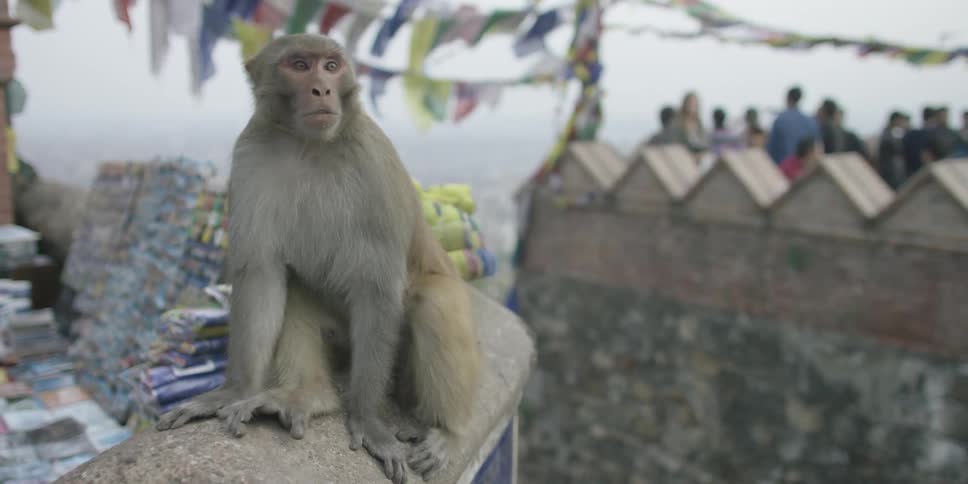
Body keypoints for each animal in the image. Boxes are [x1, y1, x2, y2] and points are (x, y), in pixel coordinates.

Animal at [155, 34, 481, 484]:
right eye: (298, 65)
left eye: (330, 66)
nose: (321, 90)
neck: (308, 145)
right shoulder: (251, 154)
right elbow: (262, 274)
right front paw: (238, 390)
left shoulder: (373, 161)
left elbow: (378, 289)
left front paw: (367, 420)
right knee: (295, 285)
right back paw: (306, 395)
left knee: (436, 300)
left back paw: (449, 432)